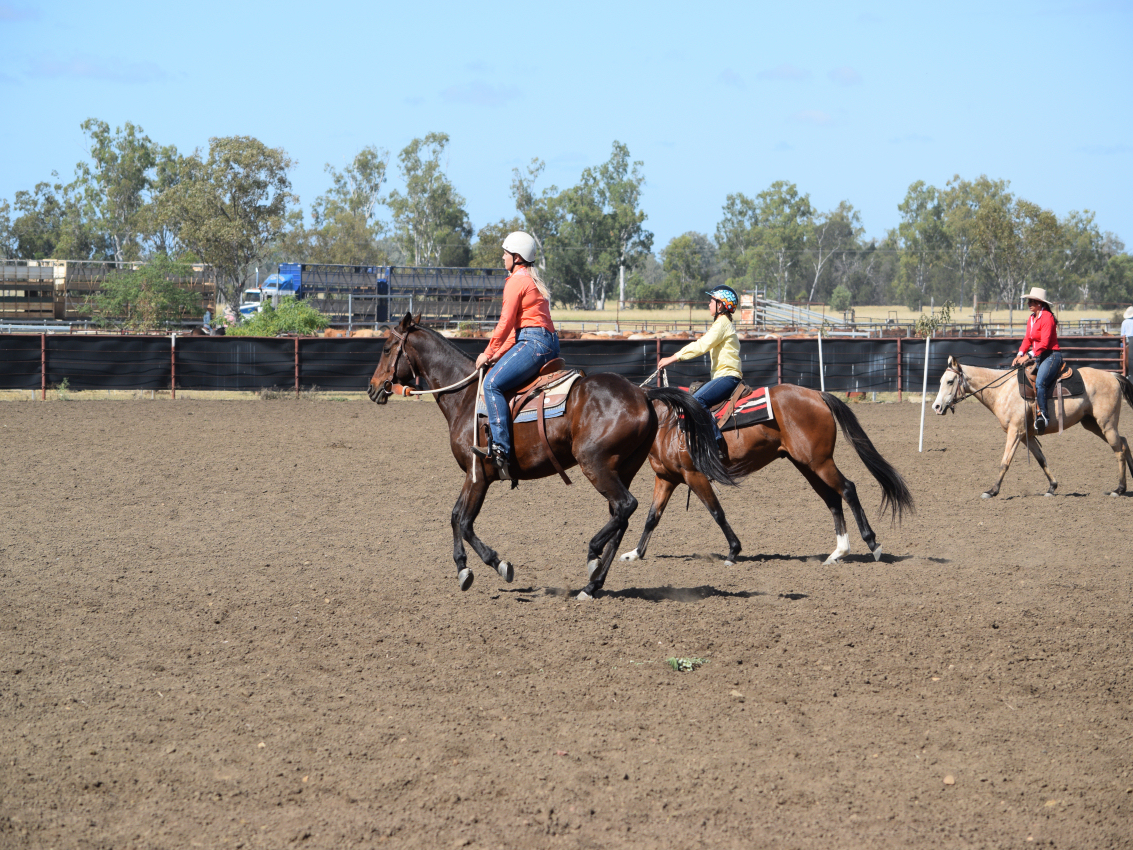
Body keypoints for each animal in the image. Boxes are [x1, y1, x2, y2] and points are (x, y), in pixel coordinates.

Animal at [367, 313, 734, 599]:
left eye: (385, 349)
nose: (372, 389)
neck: (467, 397)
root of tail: (643, 394)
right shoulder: (474, 476)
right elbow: (457, 516)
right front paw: (465, 568)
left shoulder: (479, 475)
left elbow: (465, 521)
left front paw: (496, 565)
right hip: (622, 468)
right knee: (621, 515)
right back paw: (592, 584)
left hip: (594, 463)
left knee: (626, 506)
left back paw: (592, 555)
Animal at [619, 384, 915, 567]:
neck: (667, 422)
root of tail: (818, 395)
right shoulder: (666, 478)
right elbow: (652, 517)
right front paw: (635, 553)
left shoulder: (695, 475)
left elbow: (717, 513)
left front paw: (733, 551)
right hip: (807, 465)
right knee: (832, 498)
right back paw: (838, 552)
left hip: (819, 462)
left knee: (848, 489)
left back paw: (872, 543)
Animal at [932, 354, 1133, 498]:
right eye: (940, 380)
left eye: (950, 381)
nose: (936, 407)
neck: (1002, 389)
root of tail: (1112, 376)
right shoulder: (1026, 435)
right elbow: (1041, 459)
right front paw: (1052, 487)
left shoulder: (1015, 432)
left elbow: (1005, 461)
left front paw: (992, 490)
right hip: (1092, 424)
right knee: (1123, 442)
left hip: (1106, 424)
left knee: (1118, 450)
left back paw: (1119, 489)